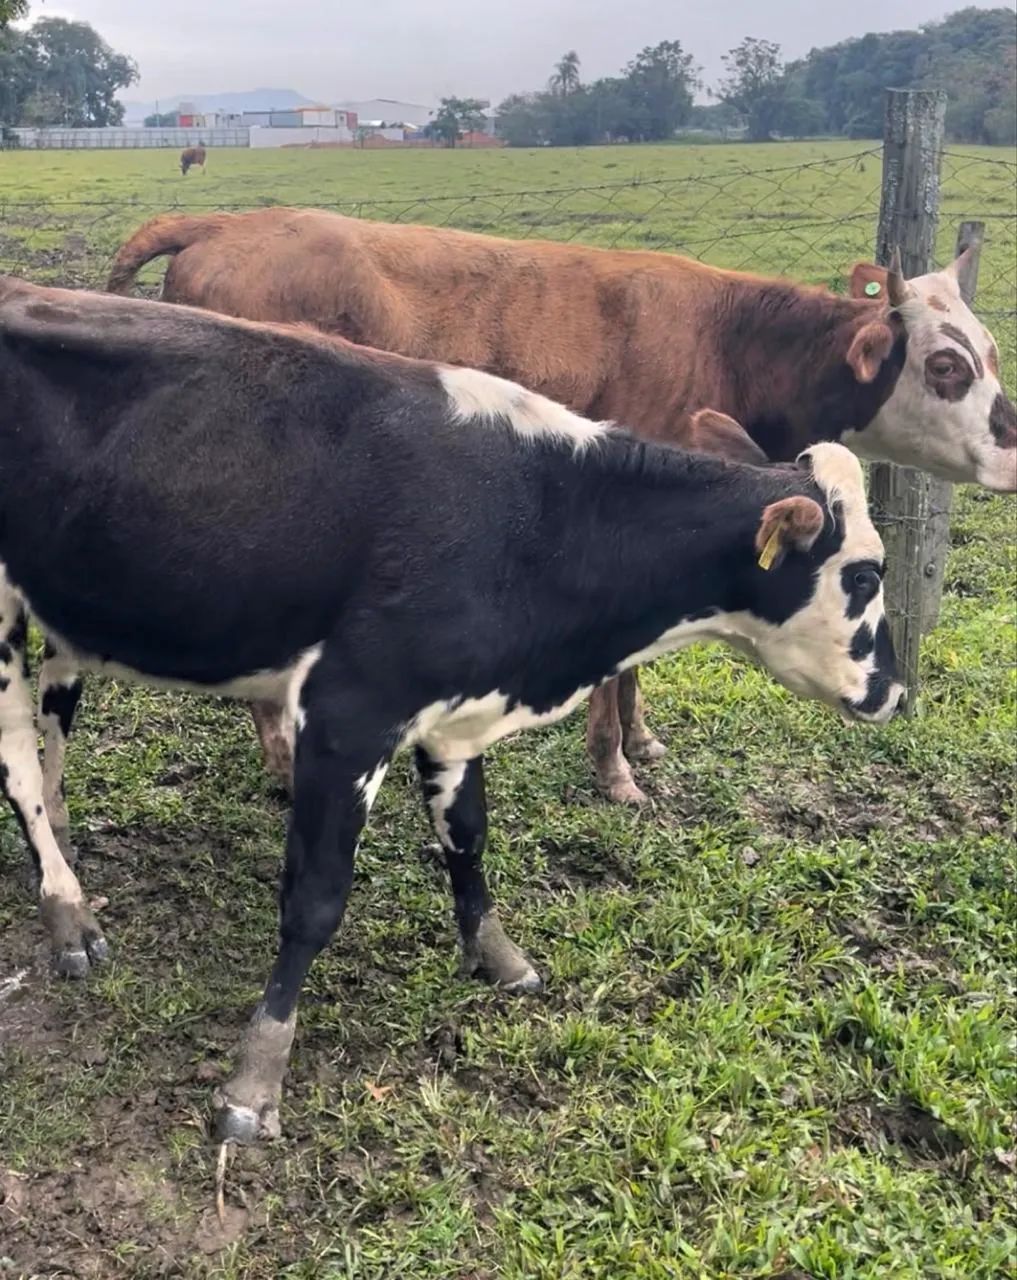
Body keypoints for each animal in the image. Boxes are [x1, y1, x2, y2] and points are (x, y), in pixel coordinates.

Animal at [1, 276, 902, 1140]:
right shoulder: (348, 713)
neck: (537, 517)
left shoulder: (459, 710)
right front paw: (256, 1079)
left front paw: (495, 953)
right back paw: (65, 910)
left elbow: (466, 836)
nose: (894, 692)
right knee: (16, 762)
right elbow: (315, 899)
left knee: (54, 724)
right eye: (865, 575)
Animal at [105, 209, 1017, 804]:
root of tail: (232, 221)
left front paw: (641, 741)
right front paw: (614, 771)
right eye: (943, 366)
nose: (1013, 446)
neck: (730, 339)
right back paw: (284, 763)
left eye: (990, 352)